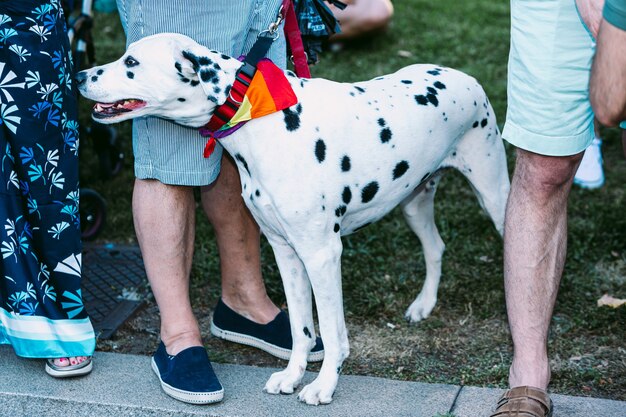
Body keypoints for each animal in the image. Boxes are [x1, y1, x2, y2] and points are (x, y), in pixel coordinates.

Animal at [75, 34, 510, 404]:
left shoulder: (322, 254)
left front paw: (323, 386)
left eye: (131, 62)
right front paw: (292, 376)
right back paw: (423, 305)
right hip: (414, 204)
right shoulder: (286, 252)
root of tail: (464, 76)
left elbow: (332, 333)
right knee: (435, 247)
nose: (79, 75)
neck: (260, 117)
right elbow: (302, 328)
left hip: (494, 196)